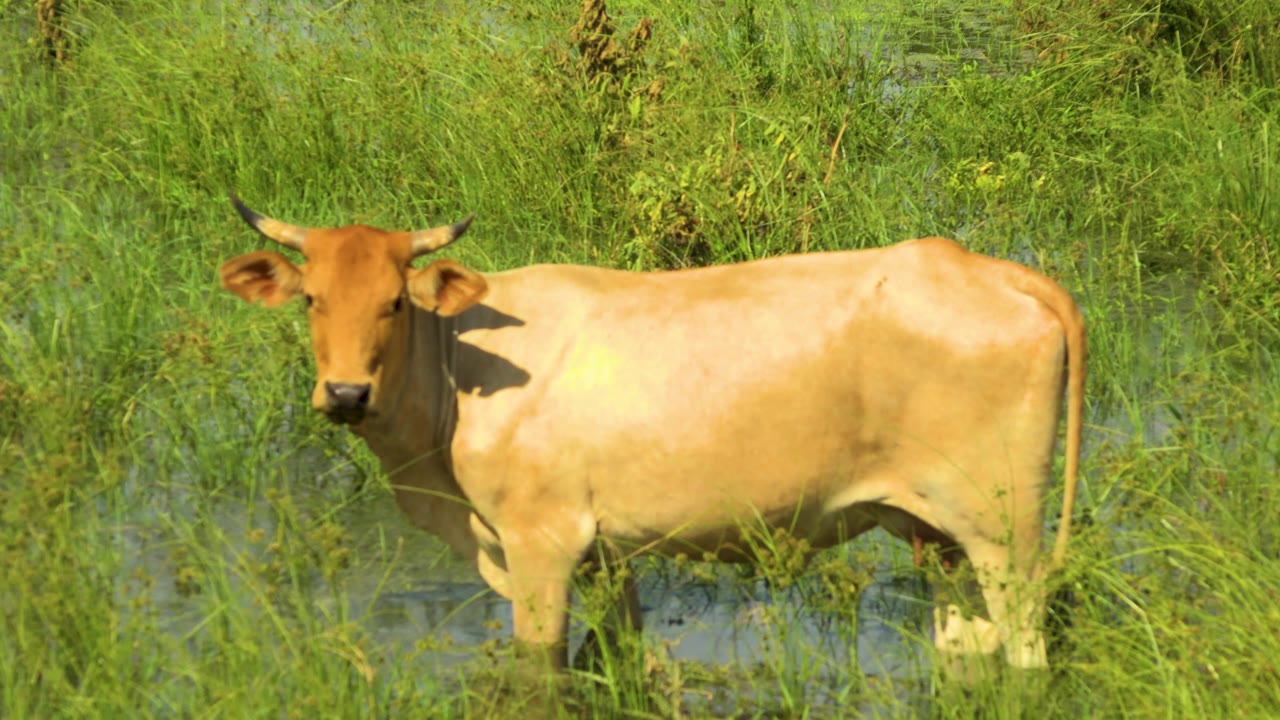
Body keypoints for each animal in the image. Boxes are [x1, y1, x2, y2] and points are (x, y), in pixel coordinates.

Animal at [219, 194, 1083, 674]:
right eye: (312, 300)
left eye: (395, 304)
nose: (345, 392)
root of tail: (982, 267)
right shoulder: (606, 552)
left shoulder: (539, 545)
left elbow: (542, 667)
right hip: (941, 535)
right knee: (968, 644)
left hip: (1005, 530)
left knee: (1025, 648)